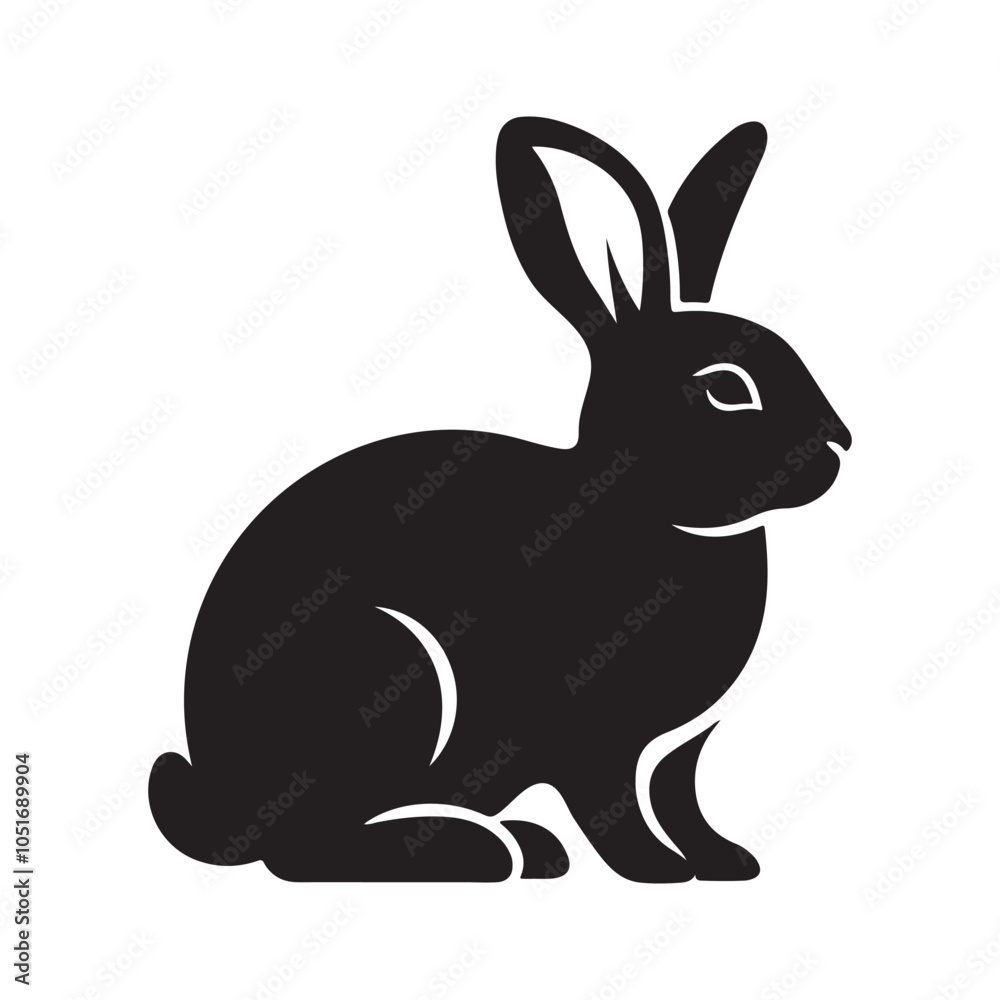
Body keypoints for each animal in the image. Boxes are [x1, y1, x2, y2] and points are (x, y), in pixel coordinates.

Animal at [149, 116, 851, 883]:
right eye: (725, 386)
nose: (839, 443)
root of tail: (221, 806)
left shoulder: (680, 748)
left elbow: (680, 797)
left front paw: (727, 862)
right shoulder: (586, 735)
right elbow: (614, 805)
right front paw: (654, 870)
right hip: (388, 676)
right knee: (303, 850)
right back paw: (487, 849)